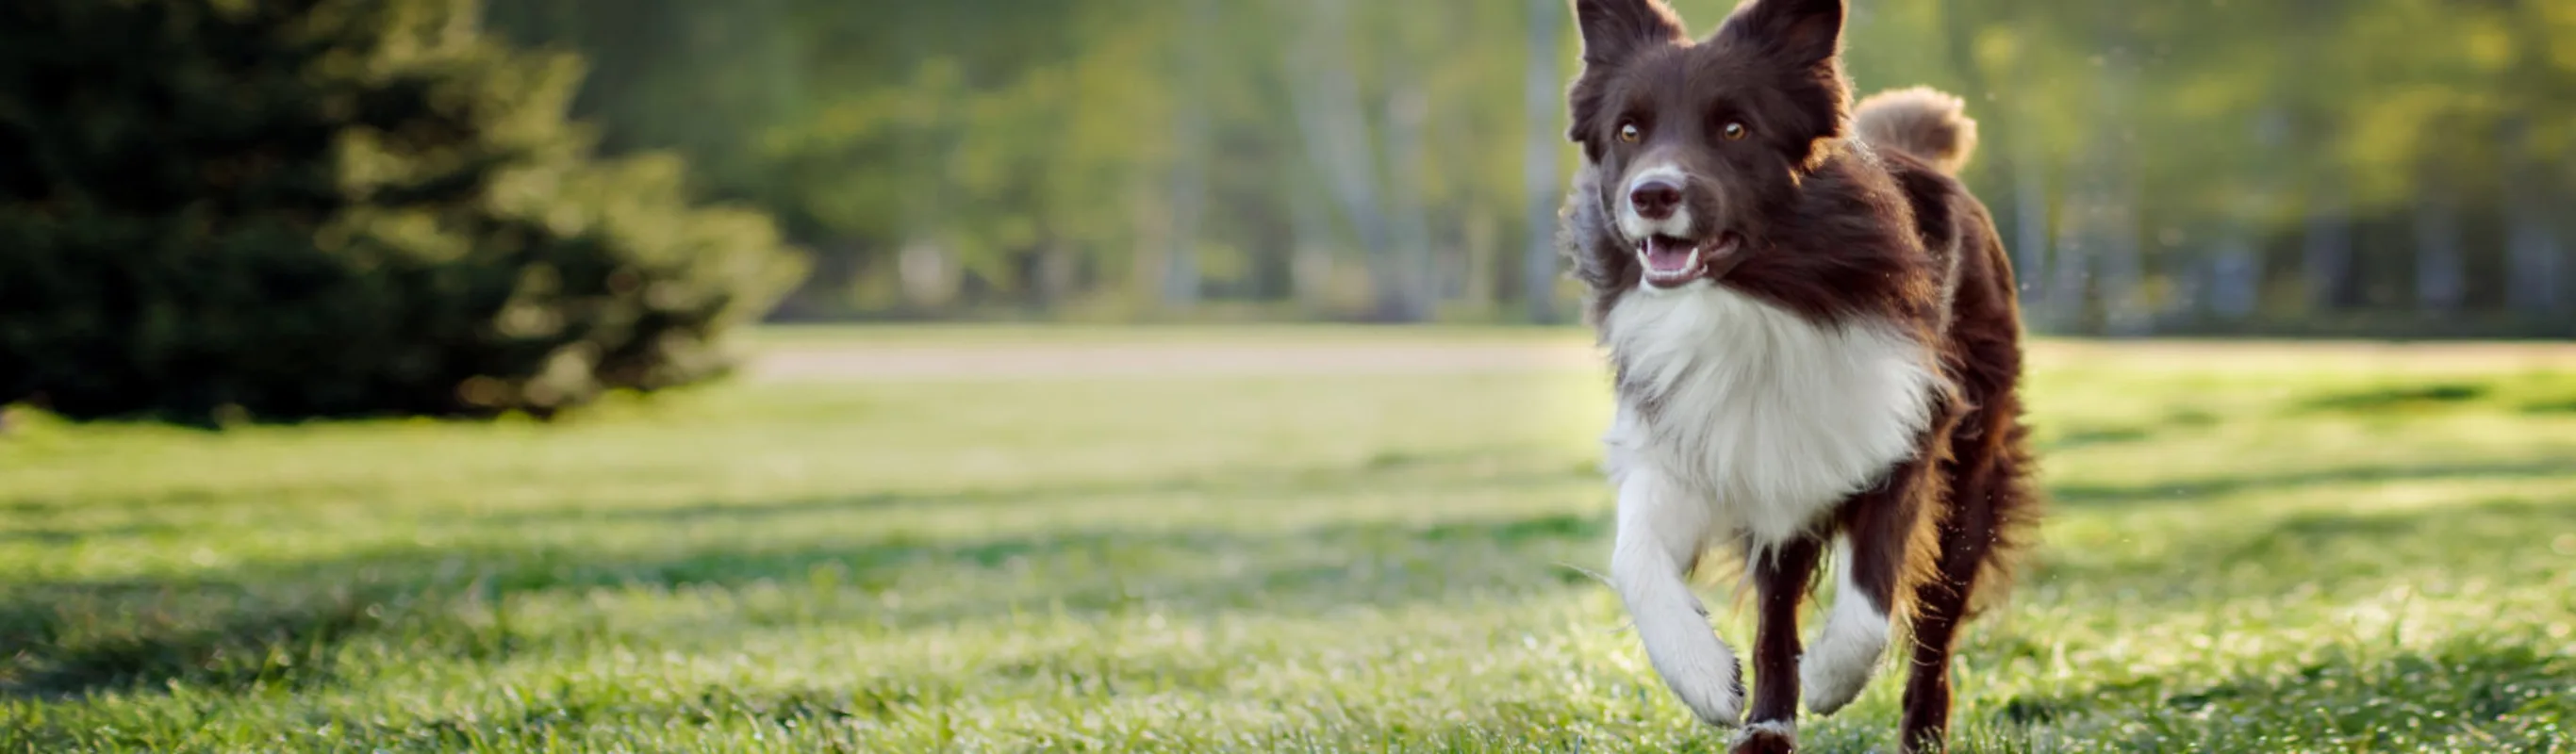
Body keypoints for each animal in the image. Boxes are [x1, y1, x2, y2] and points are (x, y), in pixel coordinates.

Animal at [1545, 0, 2050, 746]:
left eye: (1734, 128)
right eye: (1628, 132)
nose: (1652, 194)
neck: (1752, 302)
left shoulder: (1903, 426)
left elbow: (1872, 594)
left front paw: (1836, 677)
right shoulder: (1688, 441)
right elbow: (1634, 558)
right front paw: (1703, 677)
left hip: (1970, 477)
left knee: (1936, 622)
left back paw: (1919, 732)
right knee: (1776, 615)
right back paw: (1765, 728)